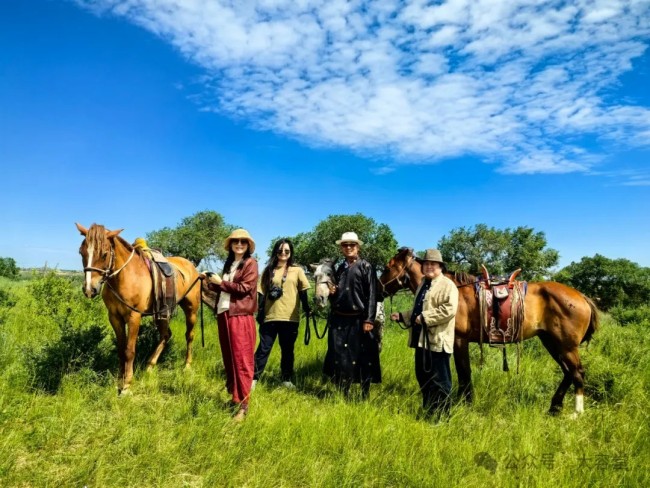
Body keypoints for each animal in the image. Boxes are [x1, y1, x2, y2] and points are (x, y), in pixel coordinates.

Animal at [75, 223, 200, 394]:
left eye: (104, 254)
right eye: (81, 252)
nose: (89, 289)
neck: (125, 276)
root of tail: (192, 268)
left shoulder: (134, 317)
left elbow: (129, 350)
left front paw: (127, 386)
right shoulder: (115, 317)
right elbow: (121, 349)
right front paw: (119, 381)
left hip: (191, 310)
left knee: (189, 336)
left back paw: (187, 365)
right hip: (162, 313)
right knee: (166, 335)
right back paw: (150, 366)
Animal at [380, 248, 596, 416]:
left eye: (387, 267)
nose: (379, 289)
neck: (456, 292)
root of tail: (582, 296)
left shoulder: (459, 341)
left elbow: (464, 373)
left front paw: (465, 403)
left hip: (566, 346)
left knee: (577, 372)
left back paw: (577, 413)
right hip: (551, 342)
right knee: (568, 372)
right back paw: (554, 407)